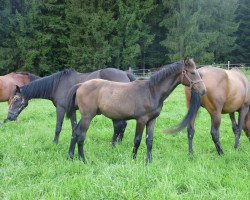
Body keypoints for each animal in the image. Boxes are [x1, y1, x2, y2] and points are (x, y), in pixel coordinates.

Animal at [6, 68, 135, 145]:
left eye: (16, 99)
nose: (9, 117)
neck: (57, 84)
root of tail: (125, 73)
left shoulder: (61, 109)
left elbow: (58, 127)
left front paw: (55, 143)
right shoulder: (72, 111)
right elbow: (74, 127)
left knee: (119, 125)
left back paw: (114, 143)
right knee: (122, 125)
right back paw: (118, 143)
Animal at [65, 57, 206, 162]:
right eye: (192, 72)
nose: (203, 91)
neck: (152, 91)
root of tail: (80, 85)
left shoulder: (152, 120)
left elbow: (149, 140)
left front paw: (149, 161)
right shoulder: (141, 120)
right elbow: (137, 140)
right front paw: (133, 158)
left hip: (85, 117)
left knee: (75, 132)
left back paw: (70, 156)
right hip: (88, 117)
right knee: (81, 135)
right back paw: (83, 159)